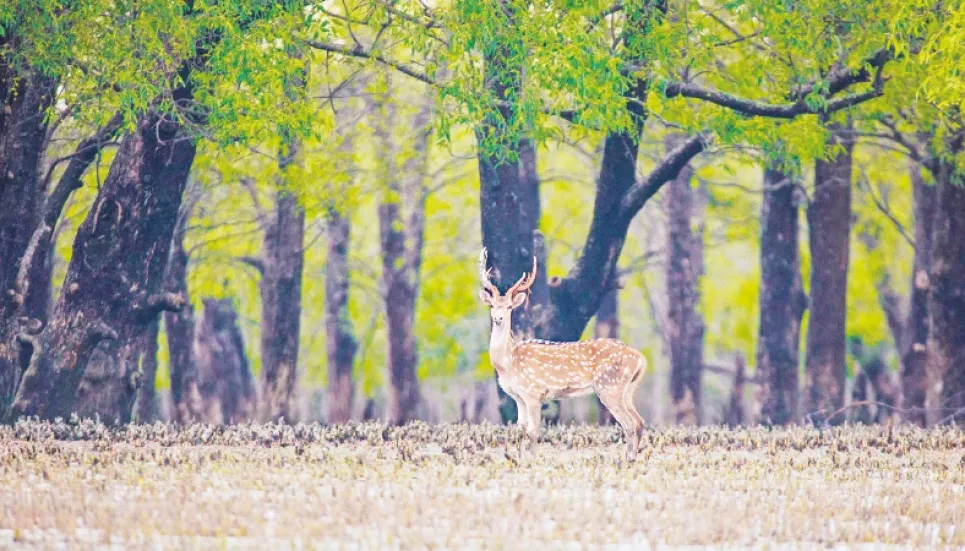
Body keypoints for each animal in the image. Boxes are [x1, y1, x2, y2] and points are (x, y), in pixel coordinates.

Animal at [476, 248, 648, 460]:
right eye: (492, 305)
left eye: (509, 306)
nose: (498, 318)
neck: (508, 363)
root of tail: (640, 358)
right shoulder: (518, 398)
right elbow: (520, 430)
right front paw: (518, 458)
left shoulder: (534, 393)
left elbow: (533, 432)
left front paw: (533, 459)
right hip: (628, 389)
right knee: (639, 421)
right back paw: (633, 457)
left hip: (610, 387)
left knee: (630, 424)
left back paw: (627, 459)